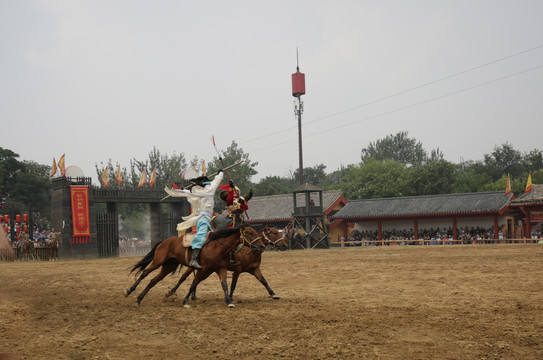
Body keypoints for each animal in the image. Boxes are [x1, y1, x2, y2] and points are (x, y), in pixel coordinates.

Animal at [124, 225, 268, 306]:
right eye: (250, 233)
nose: (262, 246)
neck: (217, 247)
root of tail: (164, 241)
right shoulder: (203, 269)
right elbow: (194, 283)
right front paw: (186, 301)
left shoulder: (219, 269)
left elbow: (224, 285)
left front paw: (228, 301)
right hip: (158, 261)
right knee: (145, 273)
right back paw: (129, 290)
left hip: (168, 266)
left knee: (153, 280)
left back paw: (139, 299)